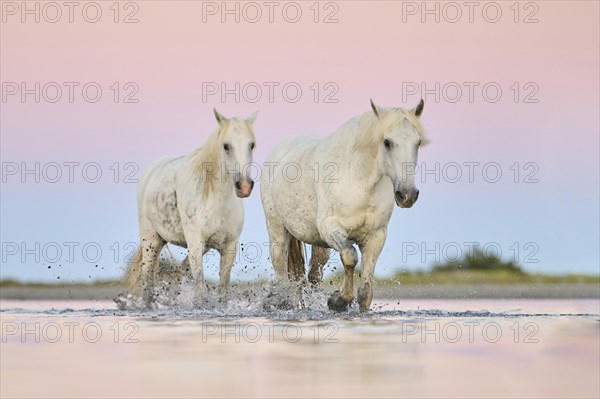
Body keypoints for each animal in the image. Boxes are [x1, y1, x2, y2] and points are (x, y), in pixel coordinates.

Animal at [125, 109, 256, 310]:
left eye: (252, 145)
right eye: (226, 146)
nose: (244, 186)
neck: (216, 200)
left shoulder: (229, 246)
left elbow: (223, 289)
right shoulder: (195, 243)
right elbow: (200, 288)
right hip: (151, 241)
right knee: (147, 278)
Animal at [262, 99, 426, 312]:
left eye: (418, 142)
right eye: (387, 142)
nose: (407, 195)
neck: (360, 180)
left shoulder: (376, 236)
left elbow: (365, 291)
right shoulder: (332, 228)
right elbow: (350, 257)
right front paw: (338, 300)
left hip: (319, 244)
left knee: (313, 275)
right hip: (278, 234)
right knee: (283, 275)